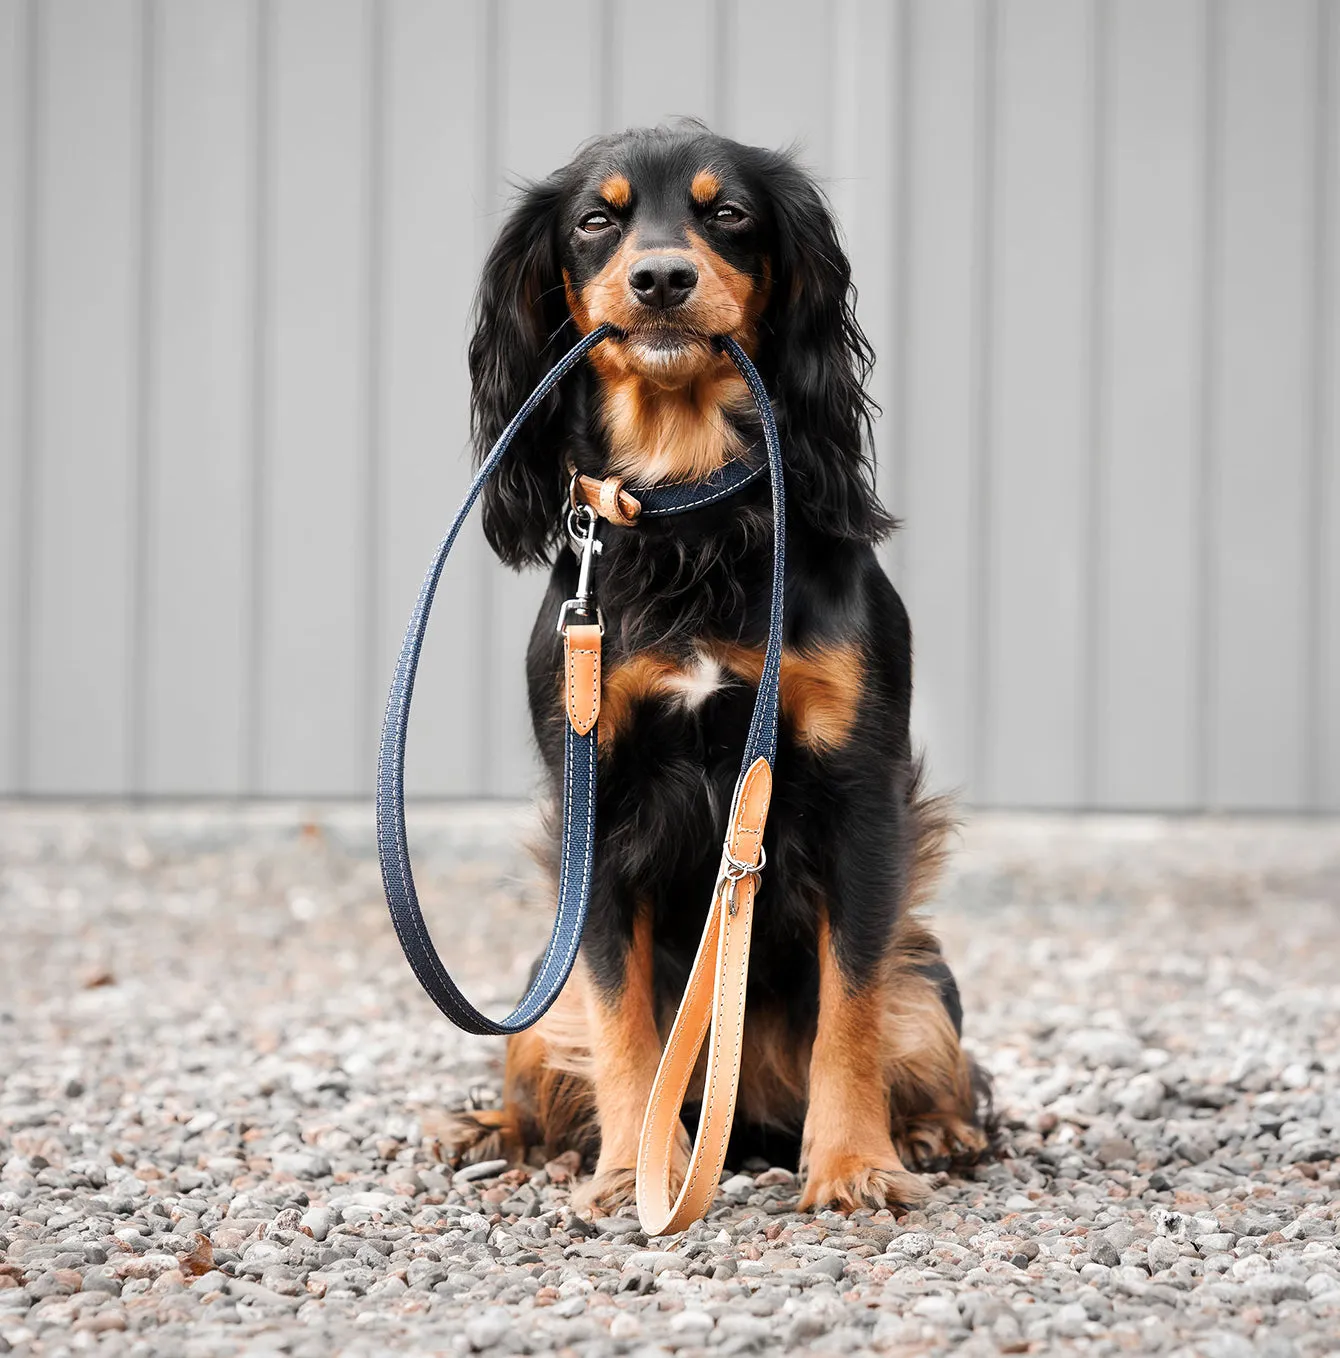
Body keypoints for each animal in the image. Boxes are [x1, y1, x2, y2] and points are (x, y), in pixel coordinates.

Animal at [445, 122, 988, 1216]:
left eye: (728, 212)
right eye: (595, 219)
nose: (660, 277)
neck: (691, 510)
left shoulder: (856, 793)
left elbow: (852, 1005)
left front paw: (855, 1164)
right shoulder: (597, 804)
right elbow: (619, 1019)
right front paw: (627, 1170)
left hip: (927, 971)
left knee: (915, 1023)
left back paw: (937, 1128)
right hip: (541, 991)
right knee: (545, 1055)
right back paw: (506, 1133)